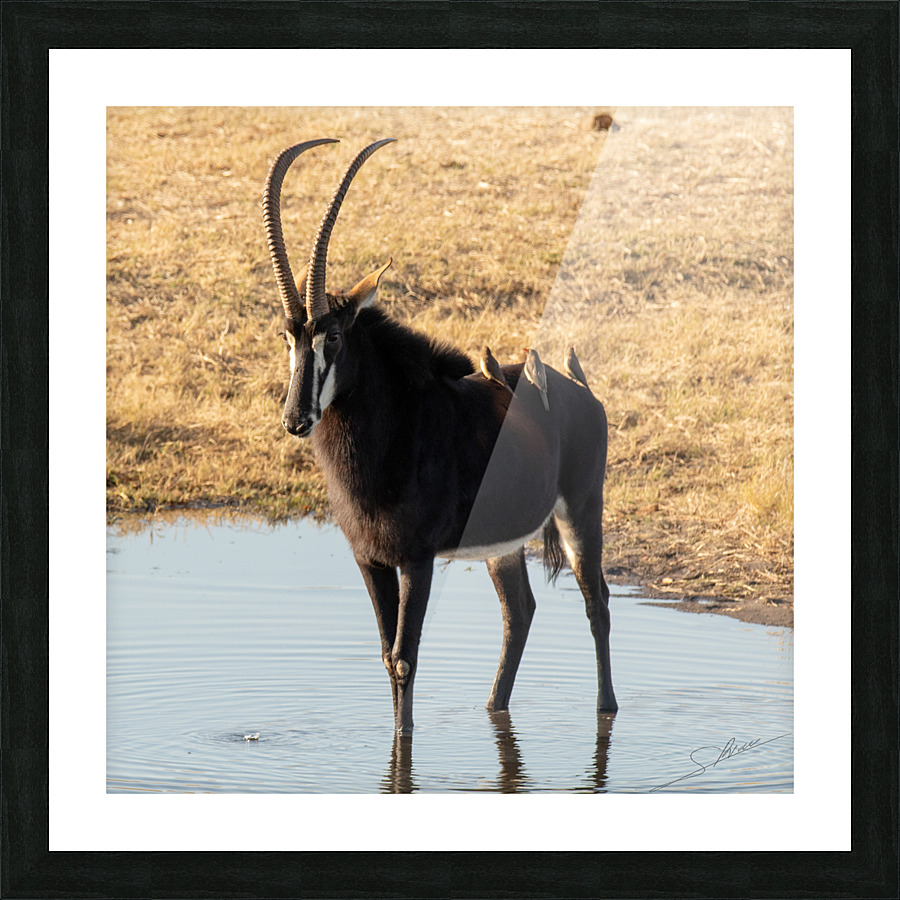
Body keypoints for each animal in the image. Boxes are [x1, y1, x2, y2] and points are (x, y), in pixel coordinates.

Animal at [263, 138, 617, 732]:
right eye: (287, 336)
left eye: (332, 335)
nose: (295, 419)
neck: (391, 435)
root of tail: (580, 390)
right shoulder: (370, 559)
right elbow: (387, 656)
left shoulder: (417, 558)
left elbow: (405, 657)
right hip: (504, 542)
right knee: (520, 611)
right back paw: (493, 706)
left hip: (582, 510)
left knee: (598, 603)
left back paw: (606, 709)